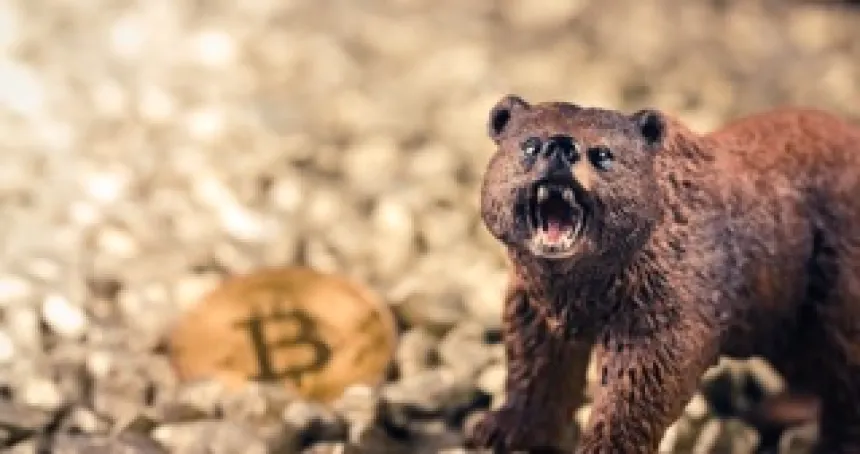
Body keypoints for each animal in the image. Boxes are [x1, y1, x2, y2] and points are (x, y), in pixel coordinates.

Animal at [465, 95, 860, 454]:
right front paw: (498, 429)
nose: (561, 146)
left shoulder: (664, 298)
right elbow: (535, 361)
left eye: (602, 153)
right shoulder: (538, 301)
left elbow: (642, 383)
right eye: (530, 144)